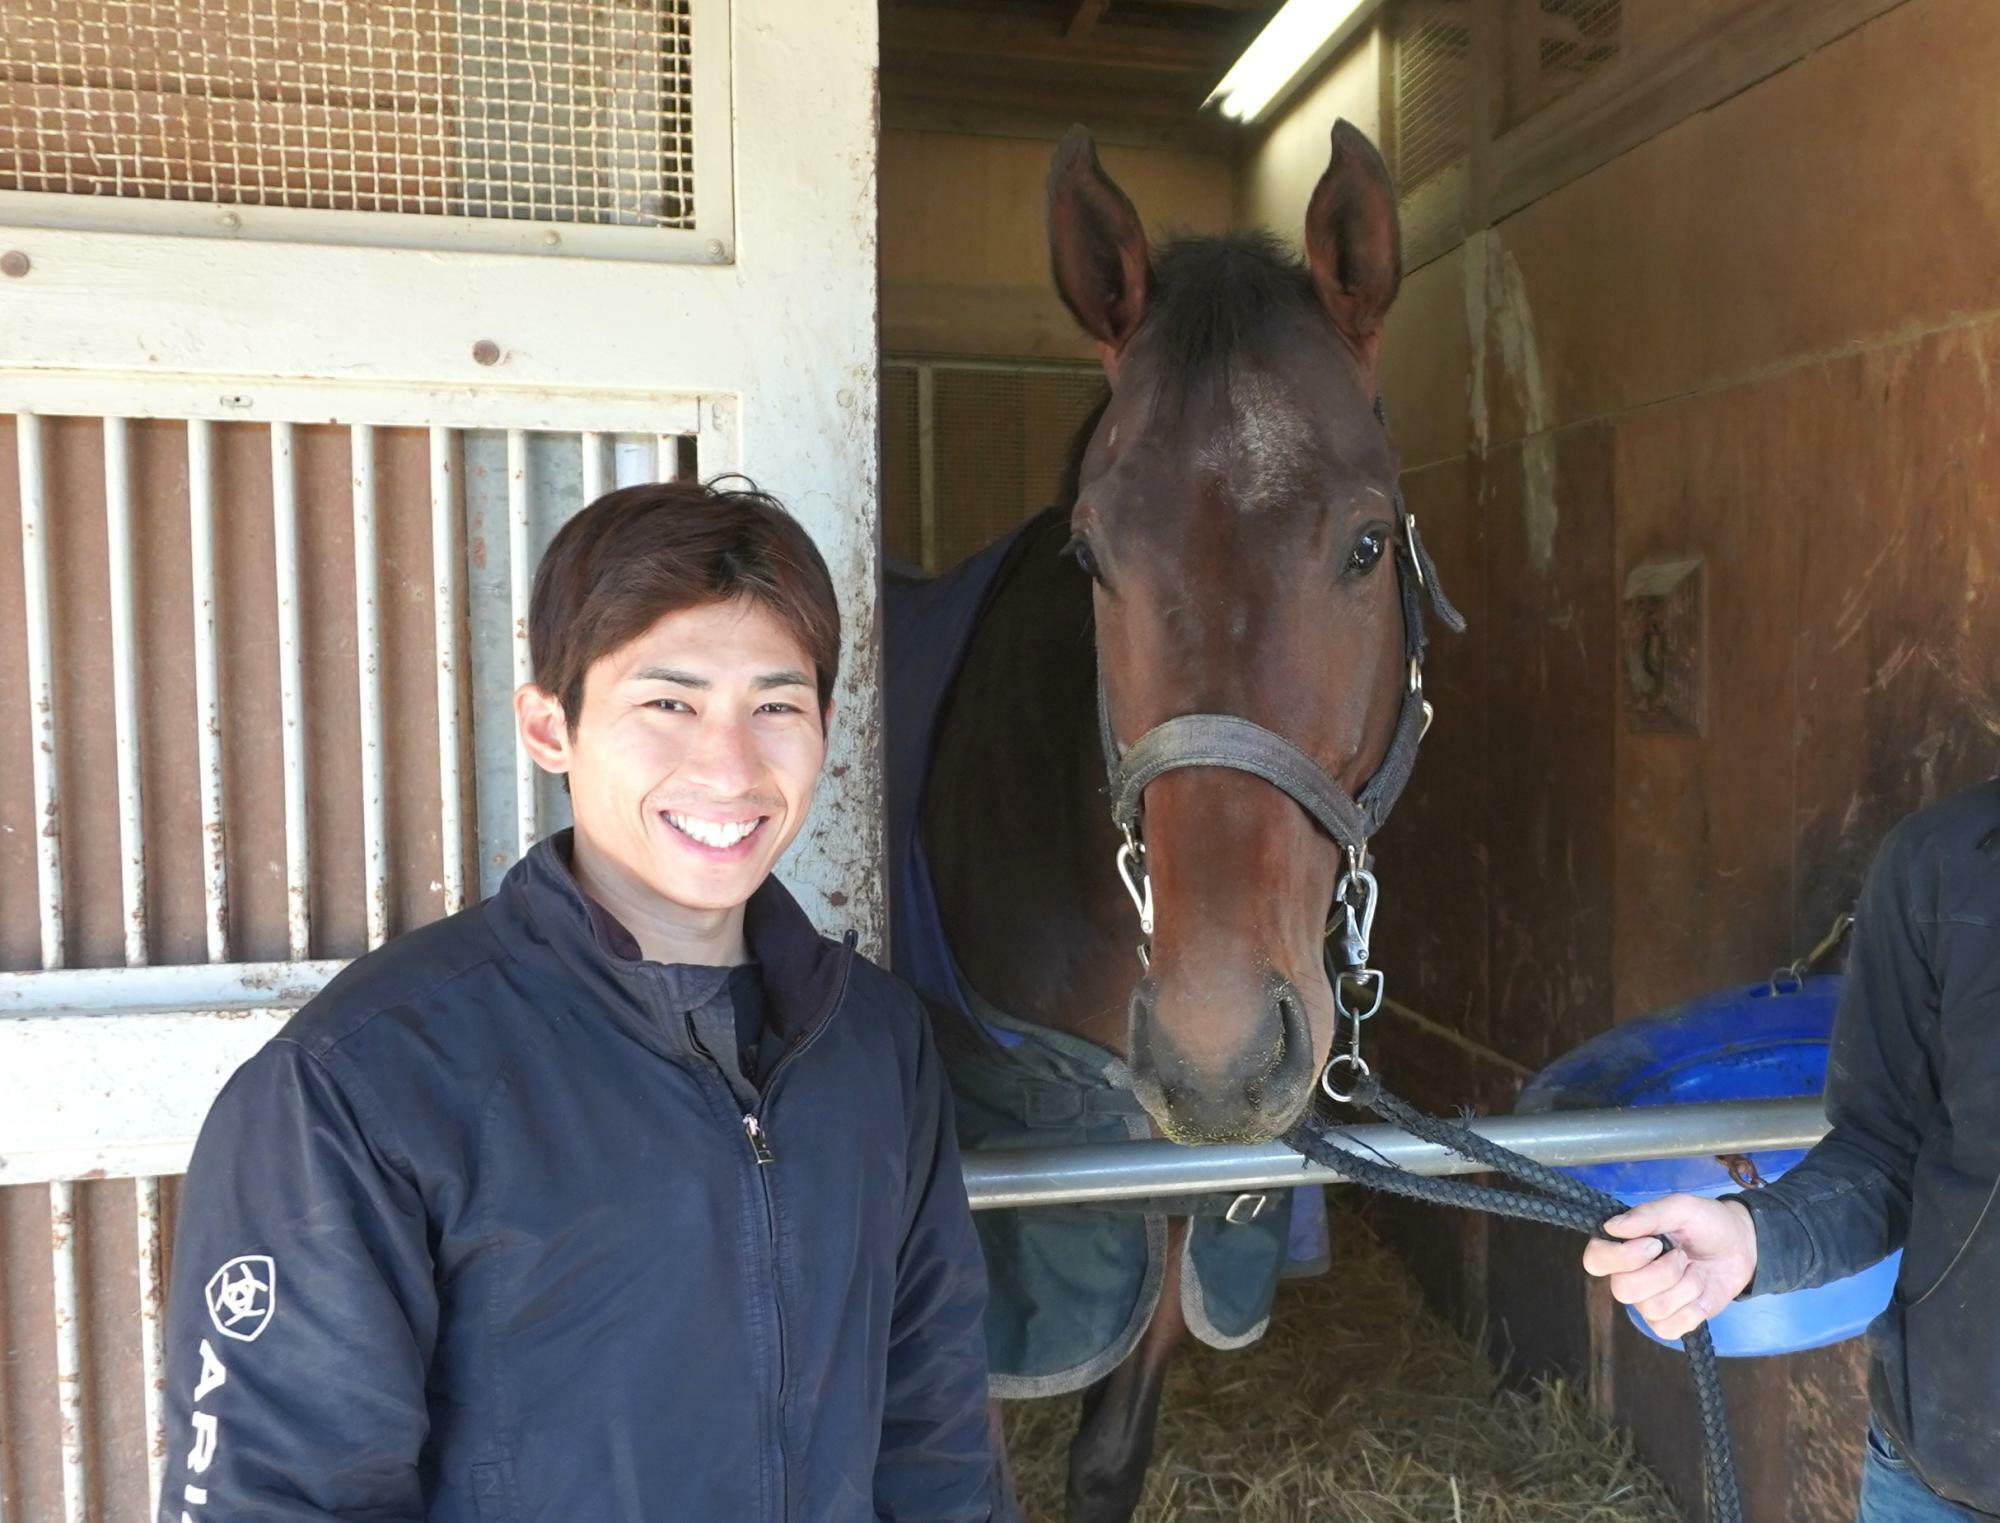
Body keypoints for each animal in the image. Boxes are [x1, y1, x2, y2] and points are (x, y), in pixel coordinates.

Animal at [892, 121, 1456, 1519]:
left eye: (1368, 543)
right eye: (1093, 555)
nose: (1216, 1051)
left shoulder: (1174, 1192)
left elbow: (1107, 1455)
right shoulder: (1005, 1261)